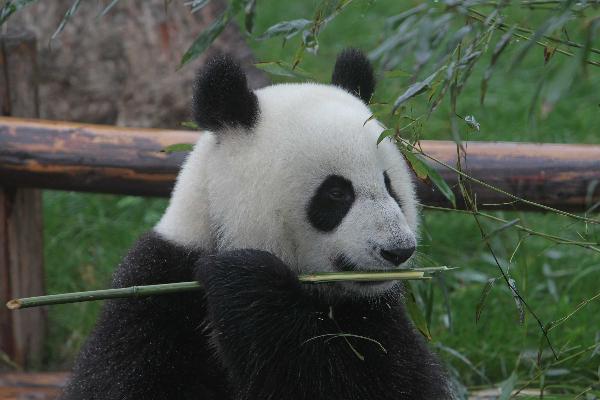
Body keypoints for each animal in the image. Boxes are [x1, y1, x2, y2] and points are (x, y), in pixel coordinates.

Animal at [62, 50, 454, 400]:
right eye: (337, 193)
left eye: (391, 186)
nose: (397, 250)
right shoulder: (159, 291)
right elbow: (123, 379)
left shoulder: (376, 315)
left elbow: (379, 381)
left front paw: (242, 279)